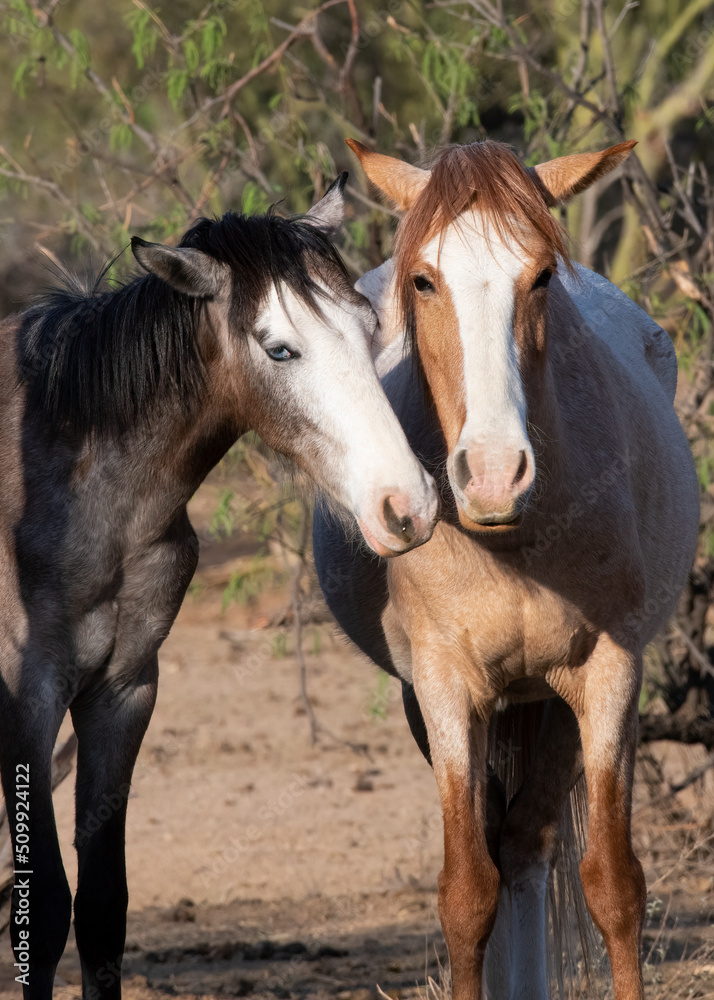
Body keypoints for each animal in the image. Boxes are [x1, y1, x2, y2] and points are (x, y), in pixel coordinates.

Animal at [314, 143, 700, 1000]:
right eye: (425, 281)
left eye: (542, 277)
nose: (492, 475)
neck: (509, 545)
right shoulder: (444, 687)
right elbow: (466, 892)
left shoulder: (608, 674)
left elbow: (613, 886)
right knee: (500, 845)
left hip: (550, 702)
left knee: (526, 846)